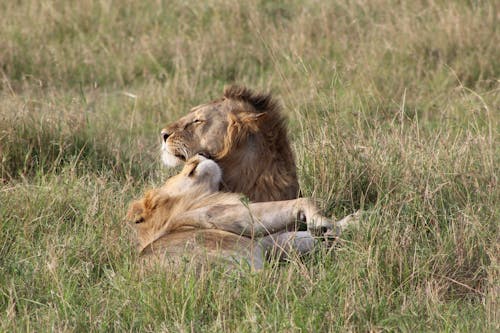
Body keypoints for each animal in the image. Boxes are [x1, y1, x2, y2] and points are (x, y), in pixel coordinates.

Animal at [127, 154, 358, 268]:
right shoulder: (223, 215)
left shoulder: (267, 243)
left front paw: (352, 223)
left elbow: (304, 238)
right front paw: (321, 221)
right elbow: (301, 202)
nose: (197, 153)